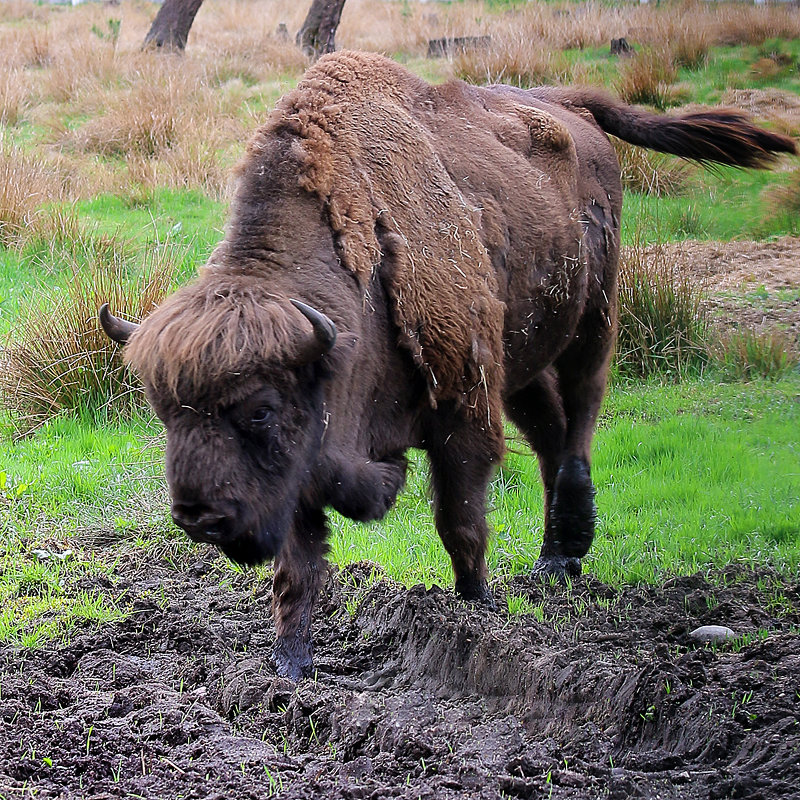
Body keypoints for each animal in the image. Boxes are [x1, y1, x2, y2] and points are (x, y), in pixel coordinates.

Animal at [98, 50, 792, 680]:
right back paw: (552, 559)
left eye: (260, 411)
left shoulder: (462, 412)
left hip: (593, 315)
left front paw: (478, 612)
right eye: (164, 412)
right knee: (549, 430)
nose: (197, 516)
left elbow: (460, 521)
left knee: (581, 416)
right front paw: (290, 665)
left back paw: (568, 547)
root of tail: (571, 106)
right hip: (519, 363)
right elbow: (298, 566)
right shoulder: (305, 470)